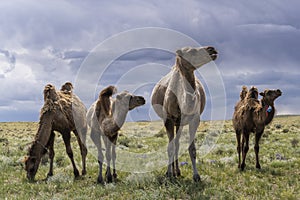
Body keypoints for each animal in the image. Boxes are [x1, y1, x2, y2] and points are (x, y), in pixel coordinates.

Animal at [151, 46, 217, 182]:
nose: (212, 49)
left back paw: (177, 171)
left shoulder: (194, 119)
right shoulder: (168, 119)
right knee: (172, 143)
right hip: (174, 121)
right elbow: (169, 147)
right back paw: (172, 172)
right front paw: (168, 174)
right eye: (191, 51)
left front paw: (196, 176)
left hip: (180, 123)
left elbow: (192, 149)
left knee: (177, 143)